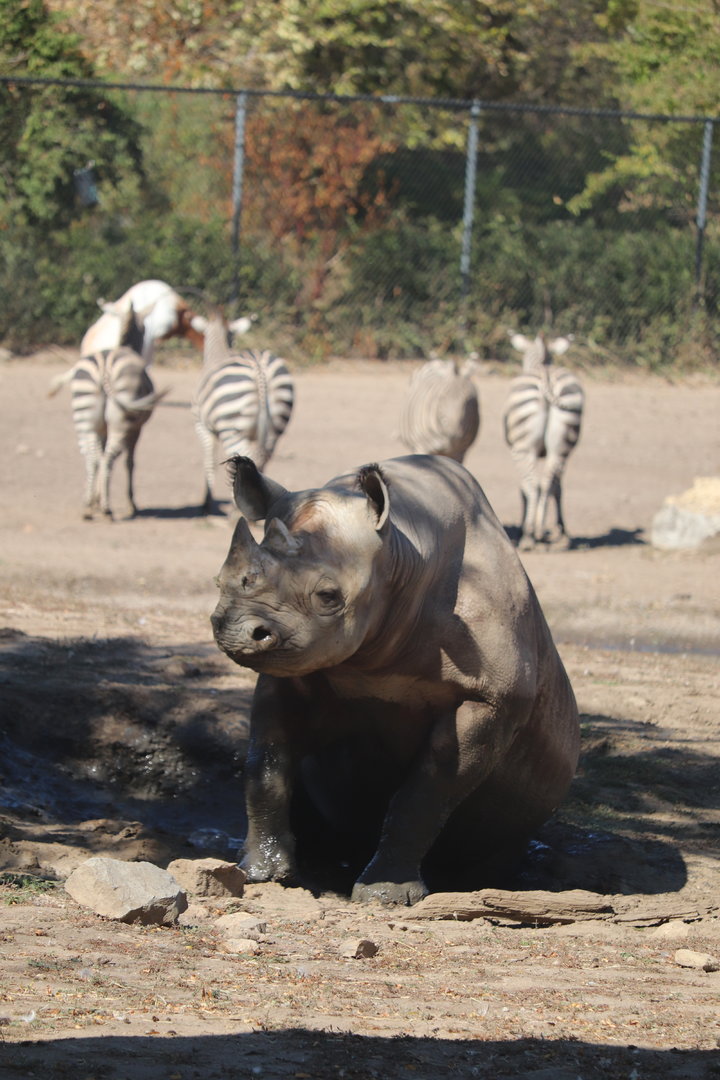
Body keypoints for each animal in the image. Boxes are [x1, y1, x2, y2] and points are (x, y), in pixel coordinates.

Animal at [211, 454, 580, 905]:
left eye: (329, 597)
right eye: (220, 581)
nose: (237, 632)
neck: (400, 549)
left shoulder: (492, 697)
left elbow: (428, 791)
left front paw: (384, 896)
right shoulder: (289, 674)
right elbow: (265, 763)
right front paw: (260, 873)